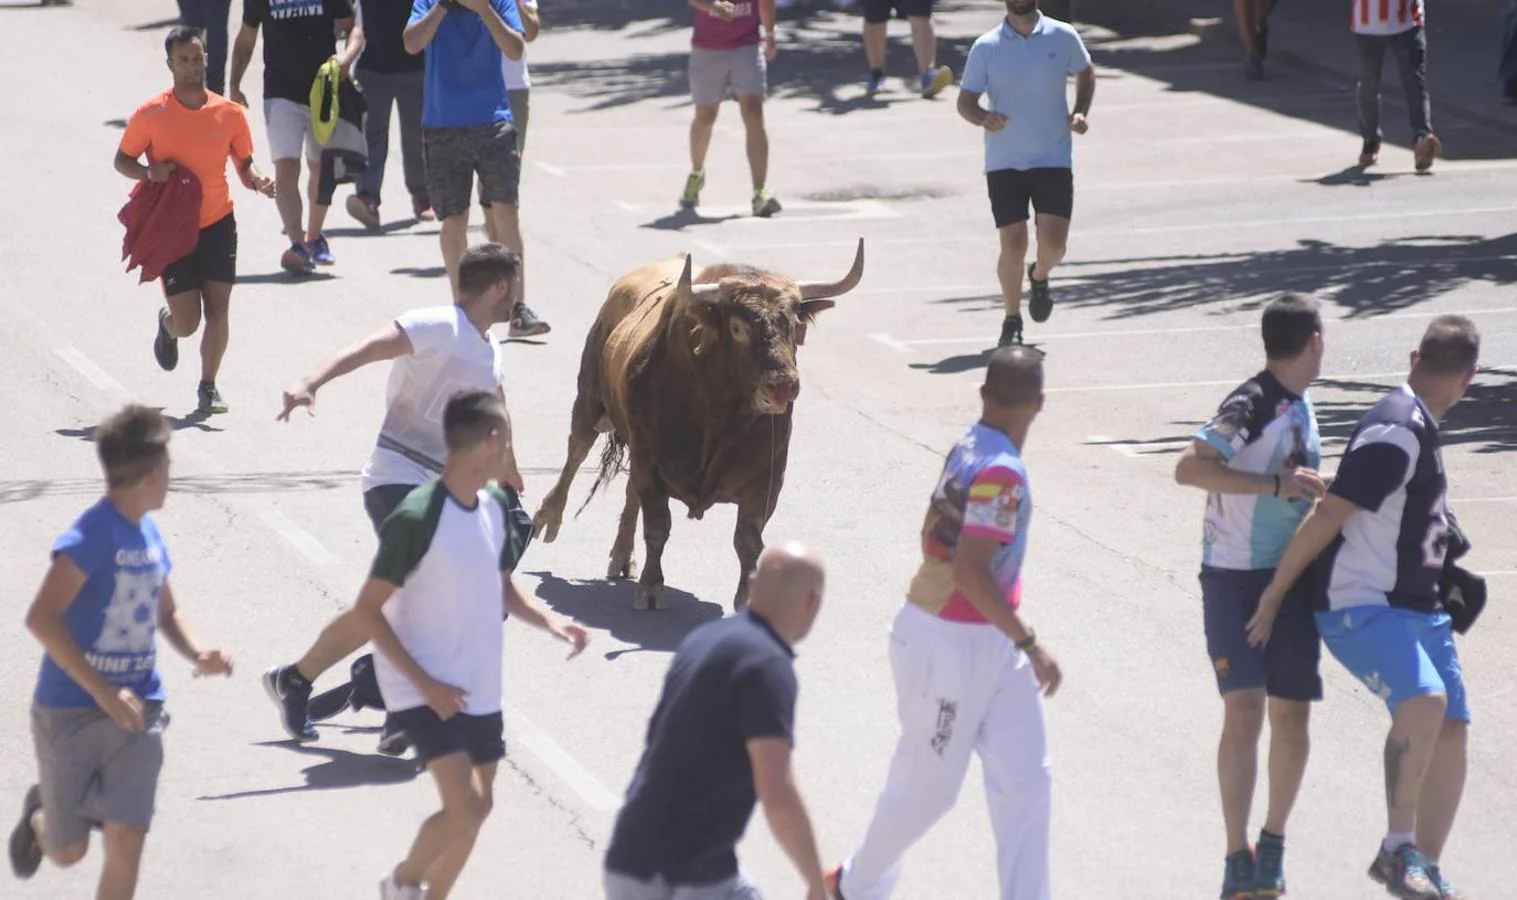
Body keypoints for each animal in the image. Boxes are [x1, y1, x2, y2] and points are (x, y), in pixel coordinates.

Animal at [533, 235, 867, 607]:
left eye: (796, 326)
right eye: (737, 328)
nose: (783, 385)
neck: (719, 415)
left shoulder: (767, 476)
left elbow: (748, 539)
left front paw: (746, 596)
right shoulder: (650, 461)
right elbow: (657, 526)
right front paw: (651, 587)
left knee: (628, 490)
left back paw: (621, 555)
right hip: (589, 401)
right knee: (576, 453)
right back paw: (548, 517)